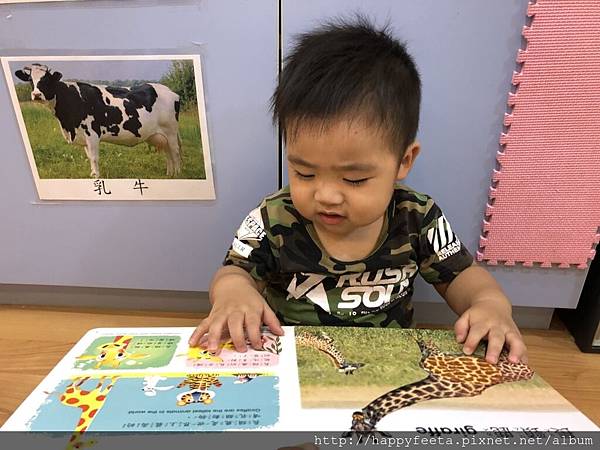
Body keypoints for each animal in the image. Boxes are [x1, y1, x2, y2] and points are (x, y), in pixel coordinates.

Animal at [15, 63, 182, 179]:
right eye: (30, 80)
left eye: (47, 79)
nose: (36, 95)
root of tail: (170, 91)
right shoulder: (83, 136)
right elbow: (90, 157)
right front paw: (92, 174)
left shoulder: (92, 133)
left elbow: (94, 157)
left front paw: (96, 176)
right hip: (161, 135)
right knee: (168, 152)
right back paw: (170, 174)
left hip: (171, 131)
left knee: (175, 152)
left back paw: (178, 174)